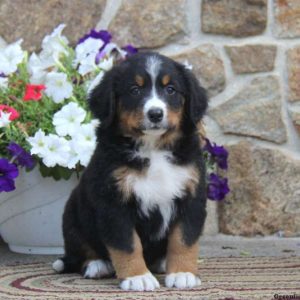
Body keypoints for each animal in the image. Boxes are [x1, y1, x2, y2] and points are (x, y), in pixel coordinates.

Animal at [52, 51, 207, 290]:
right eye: (135, 90)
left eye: (170, 89)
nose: (155, 114)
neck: (154, 149)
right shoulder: (114, 202)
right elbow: (127, 244)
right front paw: (137, 277)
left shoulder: (191, 196)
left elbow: (184, 240)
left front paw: (183, 272)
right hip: (73, 216)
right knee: (80, 250)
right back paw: (97, 265)